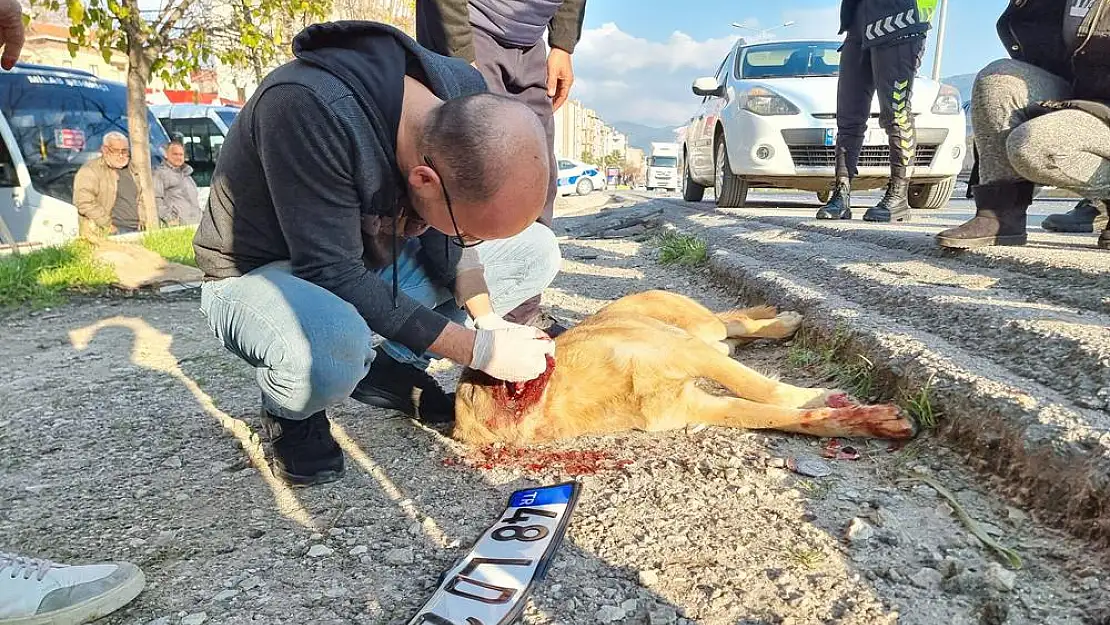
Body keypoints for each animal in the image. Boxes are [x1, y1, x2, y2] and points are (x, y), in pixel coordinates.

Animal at [452, 290, 919, 448]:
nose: (542, 332)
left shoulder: (689, 354)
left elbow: (767, 390)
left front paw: (817, 396)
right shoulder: (703, 405)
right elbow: (782, 416)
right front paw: (857, 420)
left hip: (700, 331)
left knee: (736, 322)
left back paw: (782, 322)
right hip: (710, 341)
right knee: (734, 337)